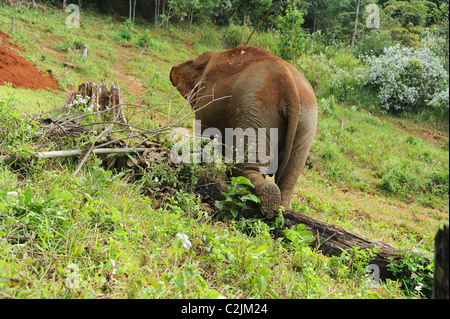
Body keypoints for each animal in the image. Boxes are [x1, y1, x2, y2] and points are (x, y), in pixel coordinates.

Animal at [171, 45, 318, 220]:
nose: (171, 69)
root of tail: (291, 90)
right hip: (306, 122)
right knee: (288, 180)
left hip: (255, 110)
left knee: (244, 168)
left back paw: (266, 197)